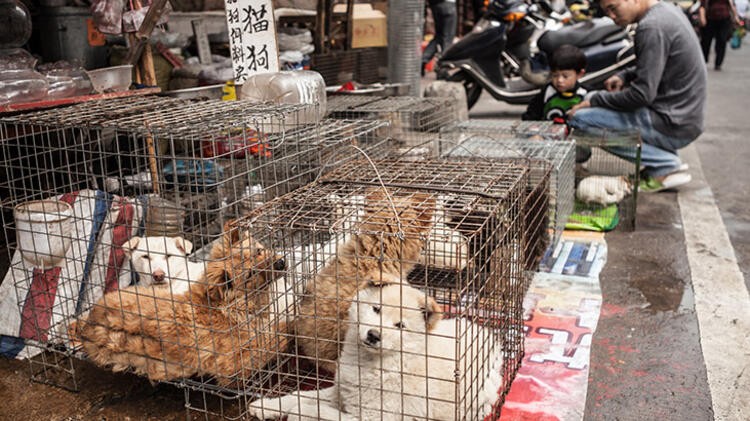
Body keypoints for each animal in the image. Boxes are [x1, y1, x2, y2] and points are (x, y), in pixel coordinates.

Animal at [70, 223, 290, 384]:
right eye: (251, 274)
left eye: (259, 251)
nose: (281, 263)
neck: (227, 305)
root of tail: (88, 323)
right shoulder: (234, 364)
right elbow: (277, 339)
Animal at [253, 280, 506, 418]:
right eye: (376, 309)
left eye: (400, 326)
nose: (374, 335)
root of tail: (491, 341)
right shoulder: (340, 391)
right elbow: (298, 395)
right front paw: (265, 406)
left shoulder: (372, 416)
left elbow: (310, 409)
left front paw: (298, 412)